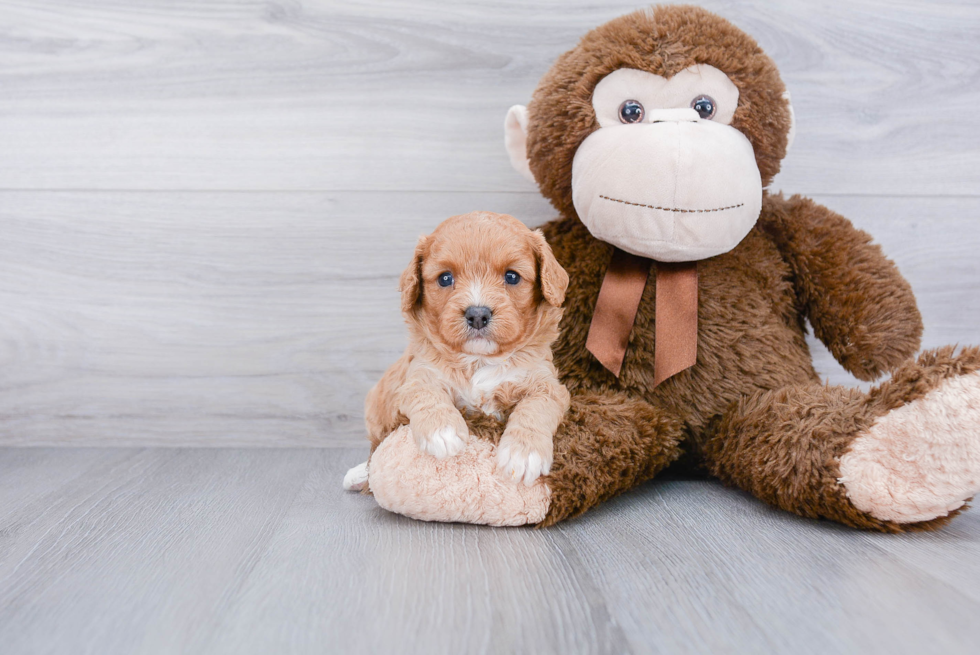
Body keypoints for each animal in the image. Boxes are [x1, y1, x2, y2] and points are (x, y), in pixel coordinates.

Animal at [346, 211, 572, 492]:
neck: (479, 360)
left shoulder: (547, 384)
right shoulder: (417, 375)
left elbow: (536, 406)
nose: (477, 314)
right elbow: (425, 393)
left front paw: (523, 454)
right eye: (445, 278)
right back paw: (358, 475)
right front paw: (442, 431)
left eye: (512, 277)